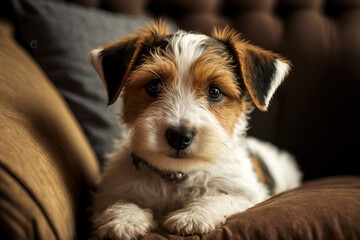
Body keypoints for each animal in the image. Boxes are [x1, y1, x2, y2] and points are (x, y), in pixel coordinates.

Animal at [89, 21, 300, 240]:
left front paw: (193, 216)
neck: (176, 175)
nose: (179, 136)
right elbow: (118, 202)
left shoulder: (248, 193)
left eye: (214, 92)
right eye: (154, 86)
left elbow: (222, 198)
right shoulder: (110, 192)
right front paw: (124, 219)